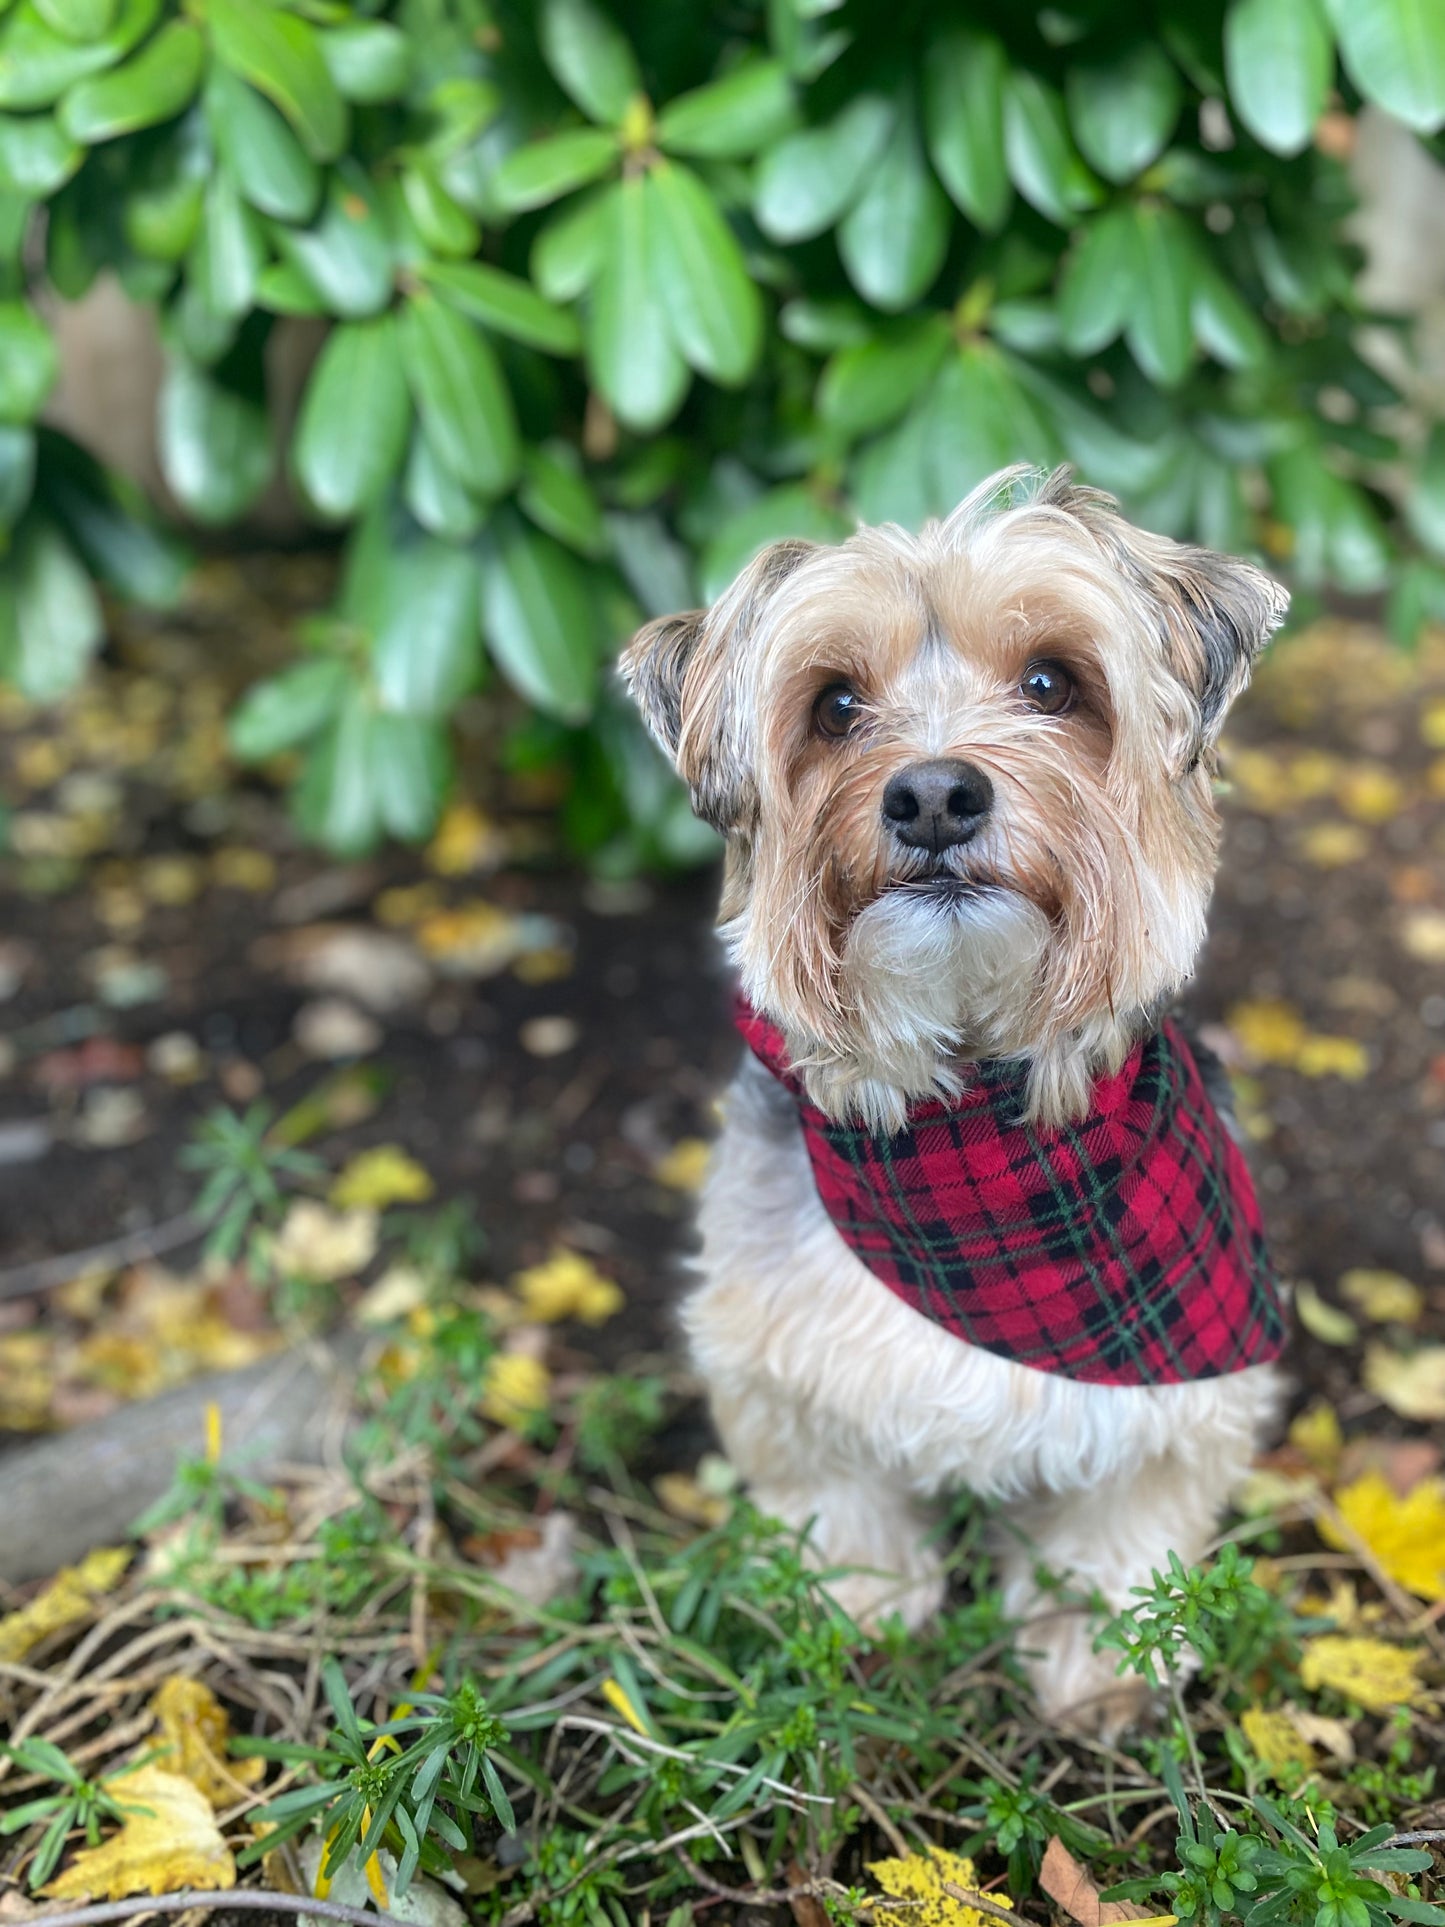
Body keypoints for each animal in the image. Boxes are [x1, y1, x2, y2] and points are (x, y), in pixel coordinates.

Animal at [624, 466, 1287, 1734]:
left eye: (1050, 683)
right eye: (834, 705)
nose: (932, 793)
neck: (972, 1111)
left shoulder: (1178, 1393)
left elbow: (1118, 1527)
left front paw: (1098, 1660)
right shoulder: (780, 1362)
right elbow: (839, 1503)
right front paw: (853, 1610)